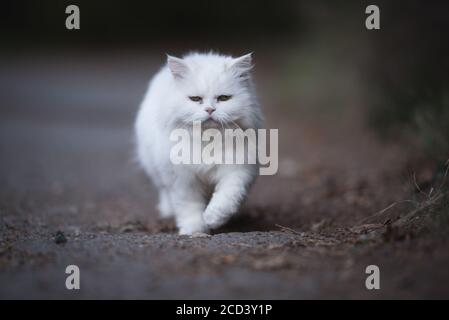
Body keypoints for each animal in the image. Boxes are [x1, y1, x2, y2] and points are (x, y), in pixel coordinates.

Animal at [135, 51, 264, 234]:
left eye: (223, 98)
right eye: (195, 99)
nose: (210, 110)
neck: (208, 140)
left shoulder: (238, 170)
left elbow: (226, 198)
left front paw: (213, 219)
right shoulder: (182, 180)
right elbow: (189, 207)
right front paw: (195, 231)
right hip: (156, 170)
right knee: (164, 192)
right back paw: (168, 211)